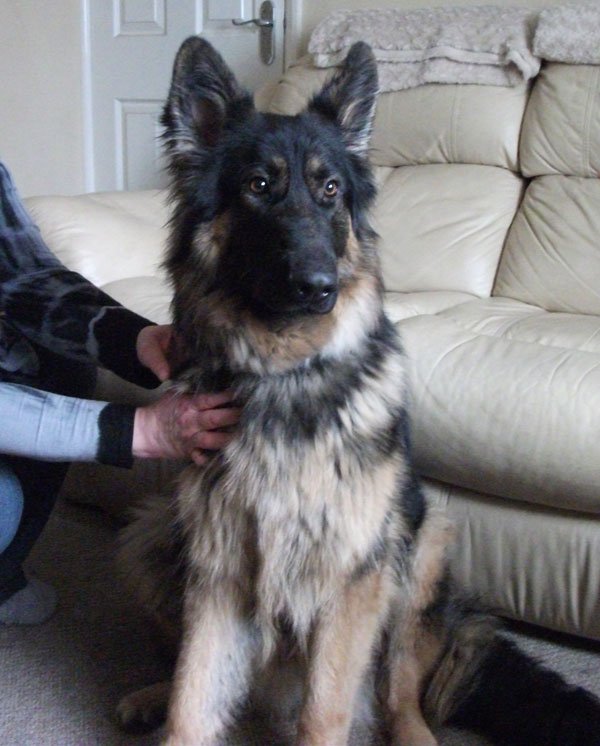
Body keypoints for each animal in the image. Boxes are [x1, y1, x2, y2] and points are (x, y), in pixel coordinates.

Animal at [116, 39, 600, 744]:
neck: (286, 373)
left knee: (403, 694)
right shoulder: (219, 567)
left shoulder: (350, 579)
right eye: (259, 186)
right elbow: (193, 695)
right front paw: (171, 707)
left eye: (330, 190)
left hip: (418, 546)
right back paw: (148, 693)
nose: (319, 286)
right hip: (154, 537)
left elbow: (326, 711)